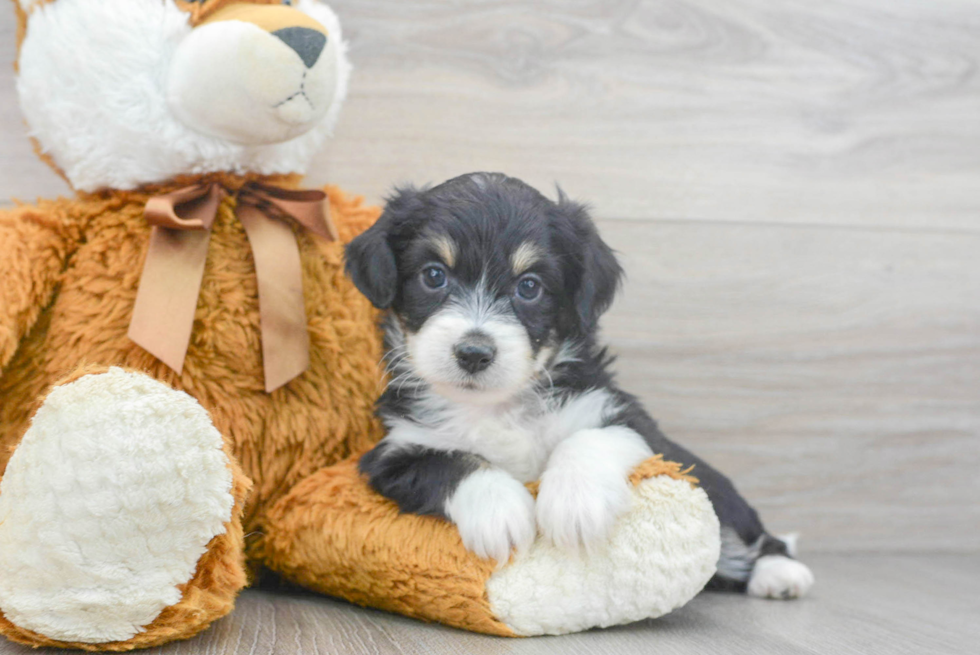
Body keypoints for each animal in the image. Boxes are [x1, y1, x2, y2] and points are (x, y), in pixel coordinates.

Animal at [348, 173, 816, 600]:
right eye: (433, 276)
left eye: (529, 286)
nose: (474, 353)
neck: (499, 407)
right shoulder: (393, 452)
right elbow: (451, 462)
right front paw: (500, 511)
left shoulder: (626, 417)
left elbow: (587, 439)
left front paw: (574, 504)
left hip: (718, 491)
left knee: (748, 534)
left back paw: (780, 573)